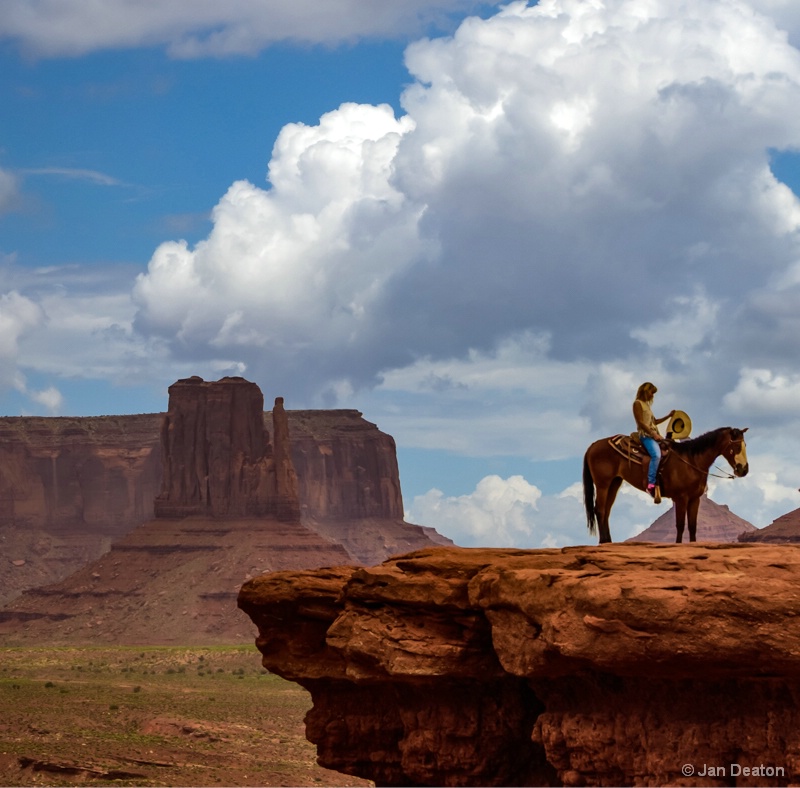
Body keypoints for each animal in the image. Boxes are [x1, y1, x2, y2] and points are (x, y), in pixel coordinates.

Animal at [584, 428, 748, 544]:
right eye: (736, 446)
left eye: (745, 445)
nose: (744, 470)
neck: (692, 461)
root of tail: (592, 446)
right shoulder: (681, 498)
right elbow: (680, 524)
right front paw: (678, 544)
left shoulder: (695, 499)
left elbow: (693, 526)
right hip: (603, 484)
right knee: (599, 510)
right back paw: (603, 542)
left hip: (614, 483)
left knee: (606, 511)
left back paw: (608, 541)